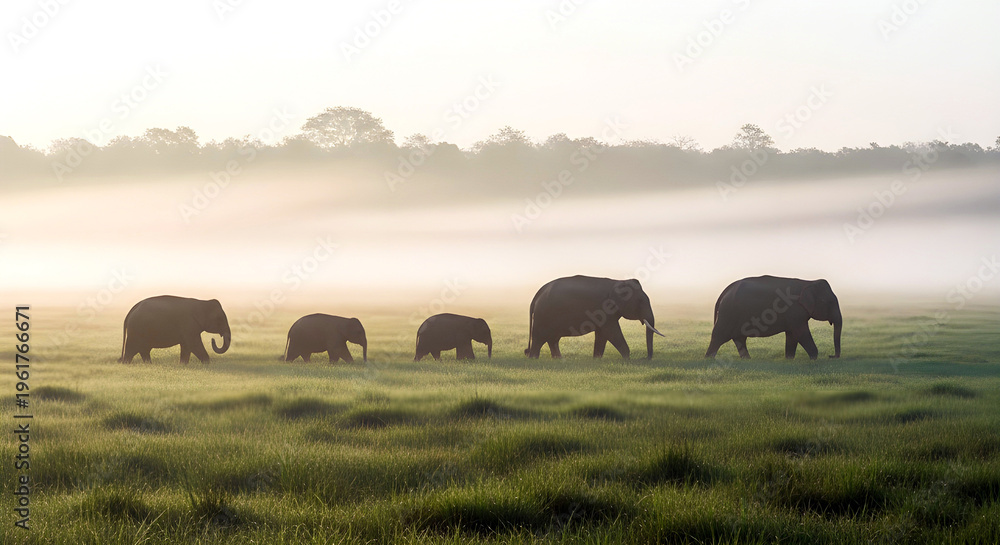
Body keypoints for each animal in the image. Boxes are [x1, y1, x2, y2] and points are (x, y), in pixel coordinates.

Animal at [525, 275, 664, 359]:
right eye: (640, 302)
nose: (645, 358)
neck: (617, 282)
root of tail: (537, 295)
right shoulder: (604, 309)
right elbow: (611, 332)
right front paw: (627, 359)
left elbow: (602, 334)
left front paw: (596, 359)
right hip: (543, 316)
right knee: (539, 339)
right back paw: (534, 359)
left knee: (552, 339)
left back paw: (558, 359)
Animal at [704, 275, 842, 360]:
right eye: (829, 302)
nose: (831, 356)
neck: (808, 282)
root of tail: (725, 290)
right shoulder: (795, 311)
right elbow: (801, 332)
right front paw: (814, 358)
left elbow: (792, 334)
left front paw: (789, 359)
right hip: (728, 312)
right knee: (719, 336)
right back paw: (709, 359)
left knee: (739, 338)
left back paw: (748, 359)